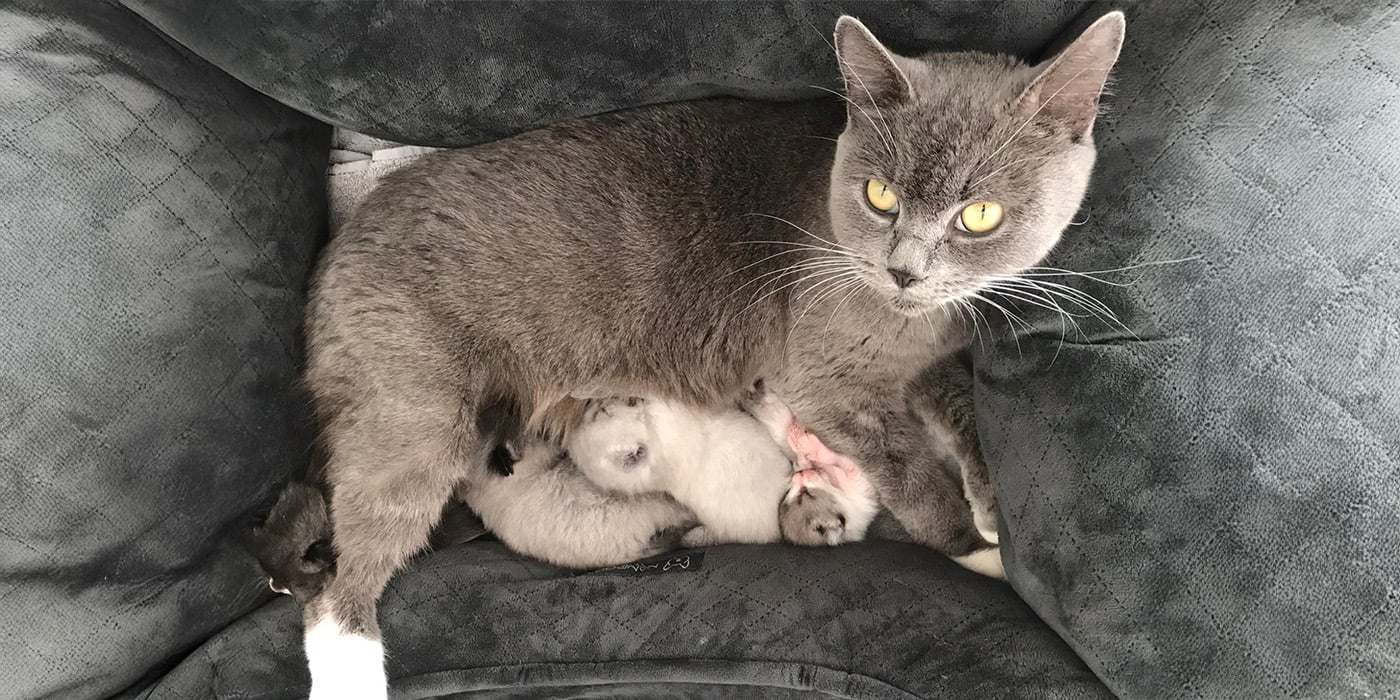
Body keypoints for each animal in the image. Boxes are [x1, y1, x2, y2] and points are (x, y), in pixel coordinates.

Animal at [298, 12, 1125, 700]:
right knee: (338, 580)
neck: (909, 320)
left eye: (979, 214)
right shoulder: (824, 375)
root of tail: (336, 249)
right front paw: (974, 550)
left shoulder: (933, 349)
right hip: (417, 405)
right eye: (880, 196)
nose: (905, 270)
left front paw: (987, 500)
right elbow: (911, 472)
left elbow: (959, 404)